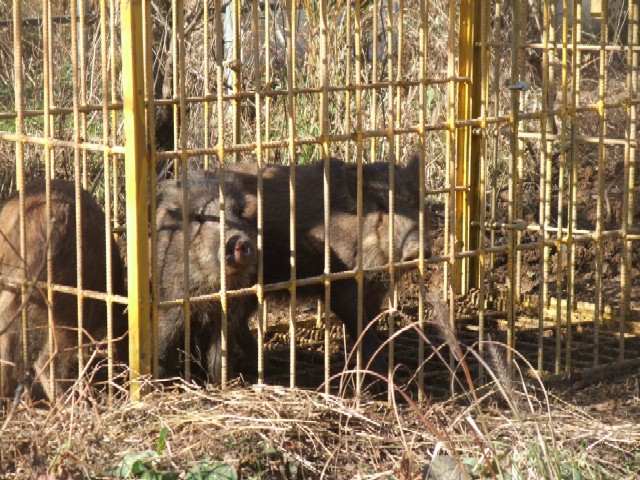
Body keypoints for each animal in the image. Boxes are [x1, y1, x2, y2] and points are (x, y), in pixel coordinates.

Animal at [154, 170, 258, 383]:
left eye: (239, 213)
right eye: (199, 217)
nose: (239, 240)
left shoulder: (230, 307)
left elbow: (221, 349)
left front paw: (225, 381)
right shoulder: (171, 302)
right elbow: (165, 341)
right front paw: (161, 381)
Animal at [226, 155, 430, 377]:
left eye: (417, 201)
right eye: (381, 206)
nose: (417, 249)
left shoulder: (375, 293)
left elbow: (372, 325)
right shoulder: (341, 286)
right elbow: (362, 330)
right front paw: (384, 375)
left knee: (238, 324)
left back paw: (269, 366)